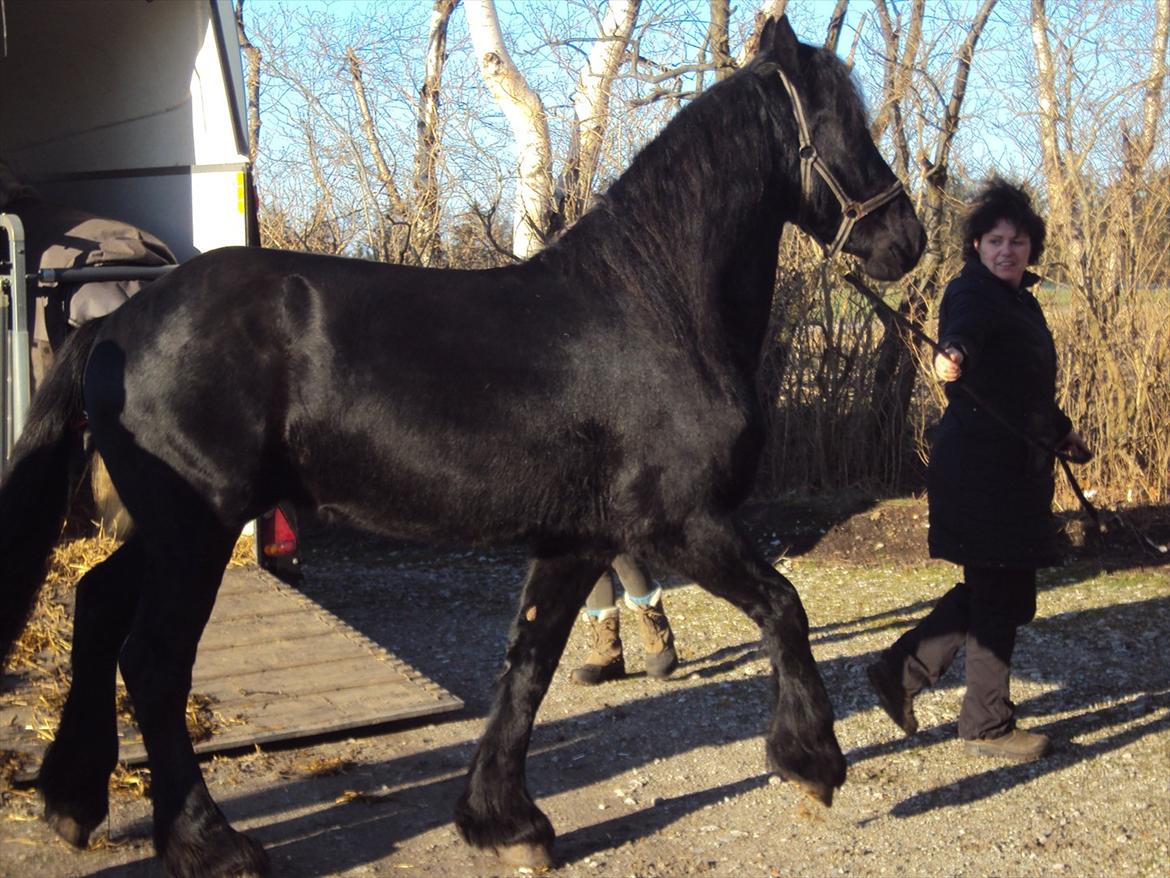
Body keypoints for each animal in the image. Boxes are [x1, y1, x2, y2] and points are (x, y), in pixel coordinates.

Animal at [4, 17, 921, 875]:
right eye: (843, 122)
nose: (905, 240)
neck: (654, 306)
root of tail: (119, 322)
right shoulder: (681, 523)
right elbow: (784, 607)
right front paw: (812, 762)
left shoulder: (578, 540)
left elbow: (528, 667)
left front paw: (505, 822)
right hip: (197, 529)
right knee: (154, 662)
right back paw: (208, 844)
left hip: (172, 528)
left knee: (95, 605)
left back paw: (73, 801)